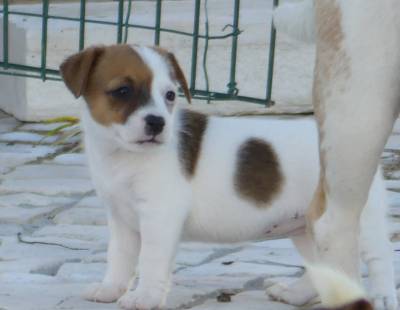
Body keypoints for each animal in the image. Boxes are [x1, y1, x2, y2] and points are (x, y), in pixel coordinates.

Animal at [59, 44, 394, 310]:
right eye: (122, 91)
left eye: (170, 95)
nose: (157, 123)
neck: (122, 155)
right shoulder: (121, 219)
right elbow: (119, 257)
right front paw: (110, 290)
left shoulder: (158, 217)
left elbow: (150, 261)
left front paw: (145, 298)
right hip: (309, 227)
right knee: (323, 267)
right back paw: (295, 294)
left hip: (358, 217)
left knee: (379, 258)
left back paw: (382, 297)